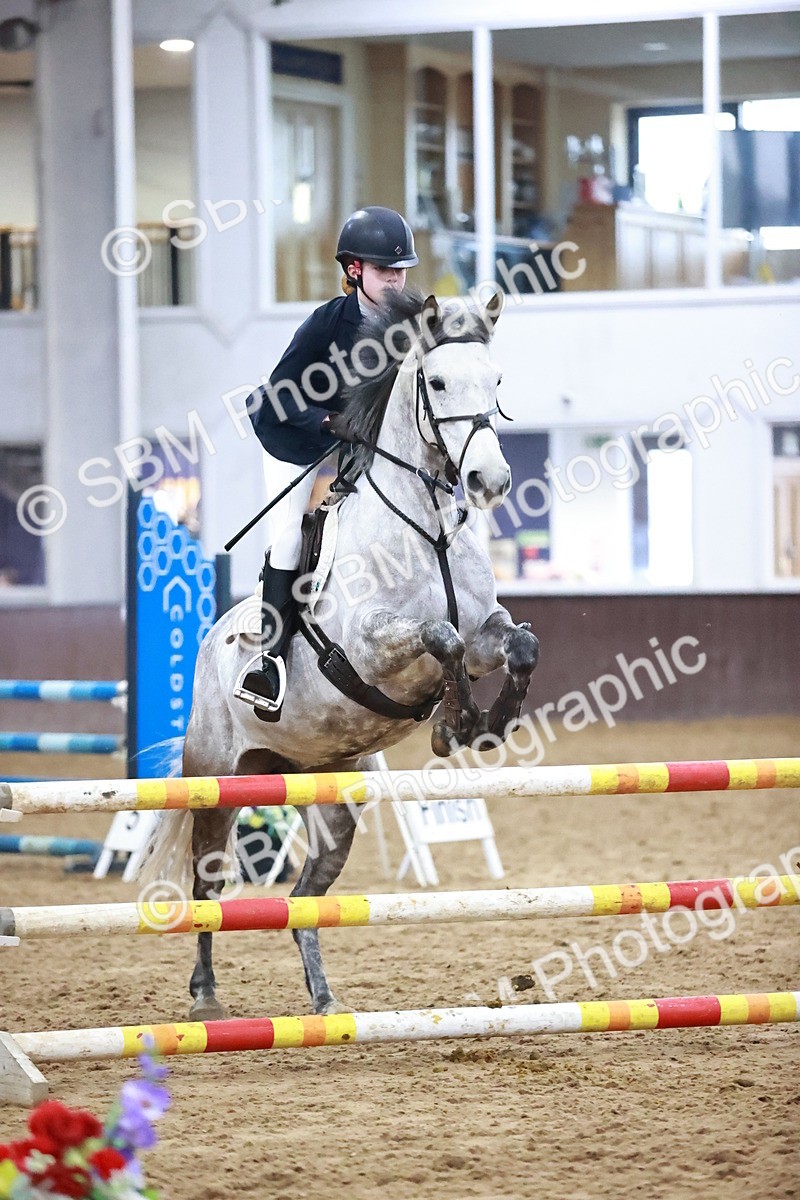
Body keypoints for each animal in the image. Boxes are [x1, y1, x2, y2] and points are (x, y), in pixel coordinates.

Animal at [138, 288, 539, 1020]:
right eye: (439, 383)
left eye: (495, 382)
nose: (490, 480)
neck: (427, 529)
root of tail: (211, 640)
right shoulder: (373, 647)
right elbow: (438, 639)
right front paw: (455, 724)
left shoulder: (486, 637)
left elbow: (516, 643)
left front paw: (486, 724)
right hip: (219, 783)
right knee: (209, 887)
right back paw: (205, 995)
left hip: (327, 800)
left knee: (303, 900)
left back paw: (324, 1000)